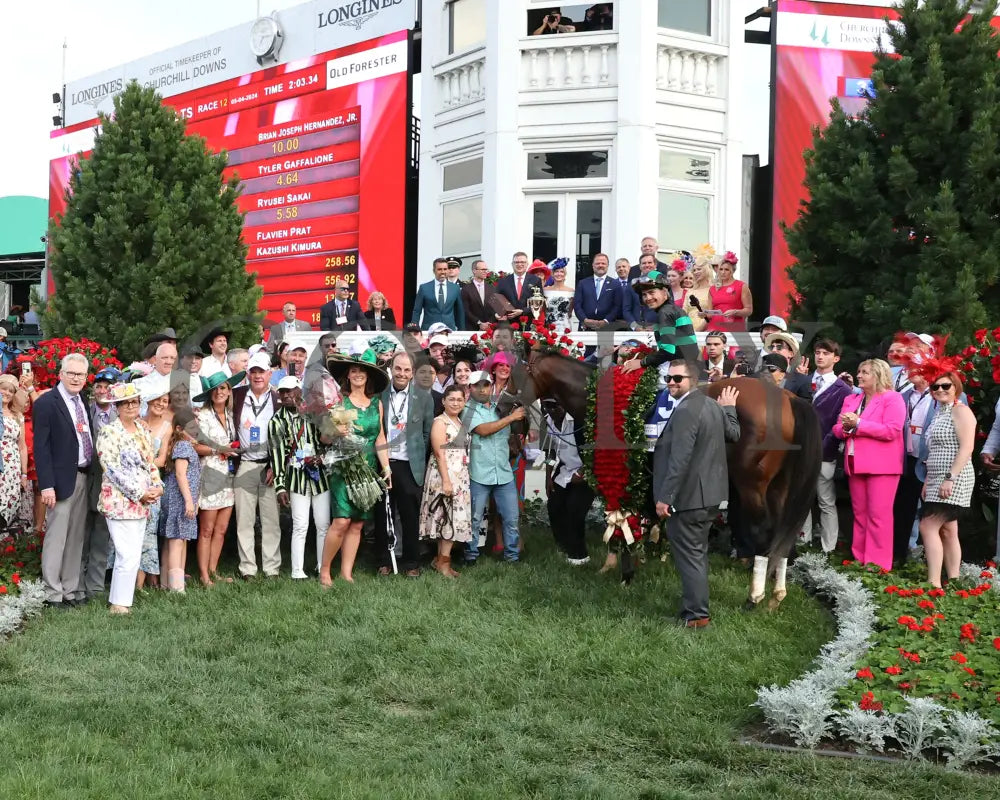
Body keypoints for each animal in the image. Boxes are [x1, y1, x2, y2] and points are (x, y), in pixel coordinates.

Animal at [528, 354, 824, 608]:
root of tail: (787, 397)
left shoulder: (621, 477)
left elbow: (619, 519)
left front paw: (624, 572)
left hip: (752, 485)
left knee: (763, 531)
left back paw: (754, 596)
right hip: (780, 487)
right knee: (781, 535)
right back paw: (777, 594)